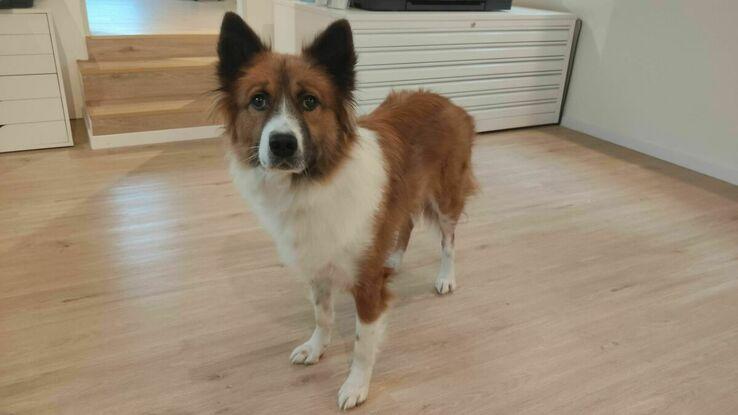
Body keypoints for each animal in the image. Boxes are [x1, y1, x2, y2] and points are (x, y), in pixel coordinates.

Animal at [216, 12, 477, 410]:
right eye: (258, 100)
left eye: (310, 101)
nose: (282, 144)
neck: (311, 183)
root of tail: (449, 103)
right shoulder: (317, 267)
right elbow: (322, 316)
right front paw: (315, 348)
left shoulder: (367, 286)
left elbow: (362, 345)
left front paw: (356, 385)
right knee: (406, 223)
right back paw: (394, 258)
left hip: (445, 197)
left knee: (448, 240)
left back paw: (446, 276)